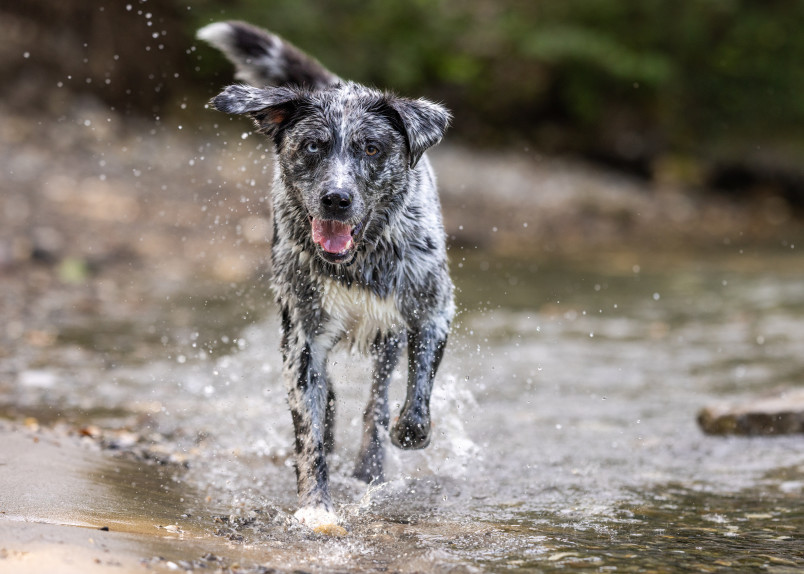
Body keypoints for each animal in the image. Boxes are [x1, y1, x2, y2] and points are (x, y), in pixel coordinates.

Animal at [196, 19, 452, 532]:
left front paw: (407, 432)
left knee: (377, 399)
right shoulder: (303, 338)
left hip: (389, 340)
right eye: (313, 145)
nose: (336, 198)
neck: (360, 259)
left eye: (371, 147)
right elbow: (309, 430)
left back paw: (371, 462)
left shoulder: (432, 310)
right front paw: (315, 505)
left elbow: (415, 395)